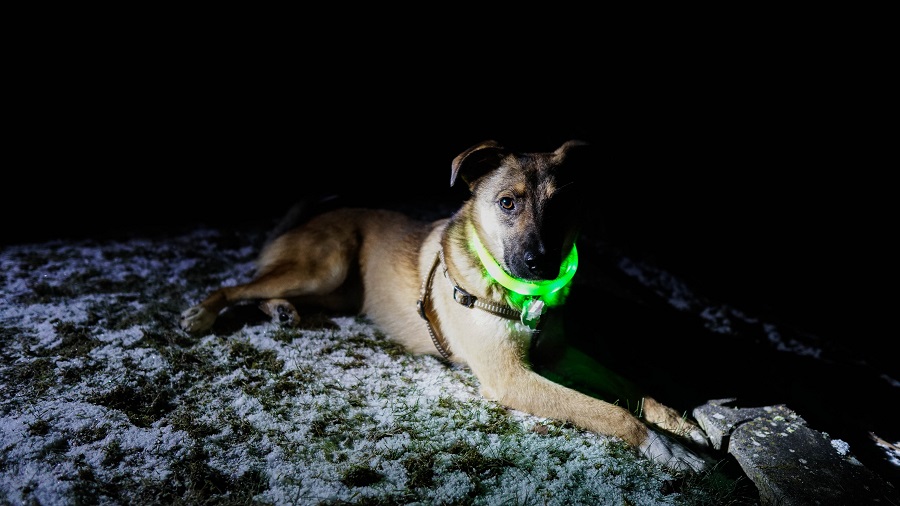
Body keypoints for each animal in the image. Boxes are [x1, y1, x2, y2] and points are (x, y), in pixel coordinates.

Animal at [179, 139, 712, 474]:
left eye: (561, 206)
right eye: (507, 203)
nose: (540, 263)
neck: (519, 295)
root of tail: (304, 222)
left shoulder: (560, 353)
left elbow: (632, 387)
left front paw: (677, 421)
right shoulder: (510, 378)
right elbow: (609, 412)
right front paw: (665, 447)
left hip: (334, 288)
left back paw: (279, 311)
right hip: (323, 267)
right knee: (236, 286)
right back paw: (203, 313)